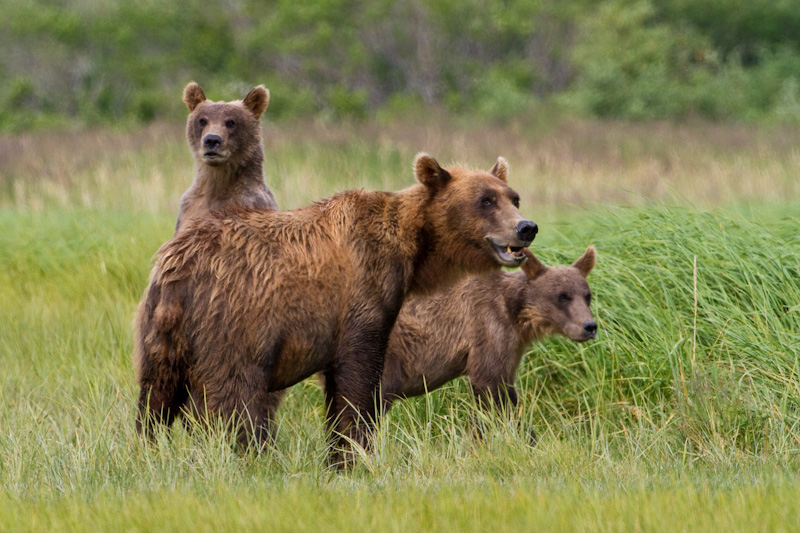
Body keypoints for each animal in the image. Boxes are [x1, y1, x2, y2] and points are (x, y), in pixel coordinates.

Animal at [134, 153, 536, 462]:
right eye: (485, 200)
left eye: (513, 197)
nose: (526, 227)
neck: (412, 251)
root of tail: (179, 263)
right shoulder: (363, 290)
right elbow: (358, 374)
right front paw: (353, 454)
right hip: (235, 320)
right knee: (234, 394)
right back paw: (250, 453)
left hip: (161, 326)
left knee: (156, 395)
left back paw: (146, 450)